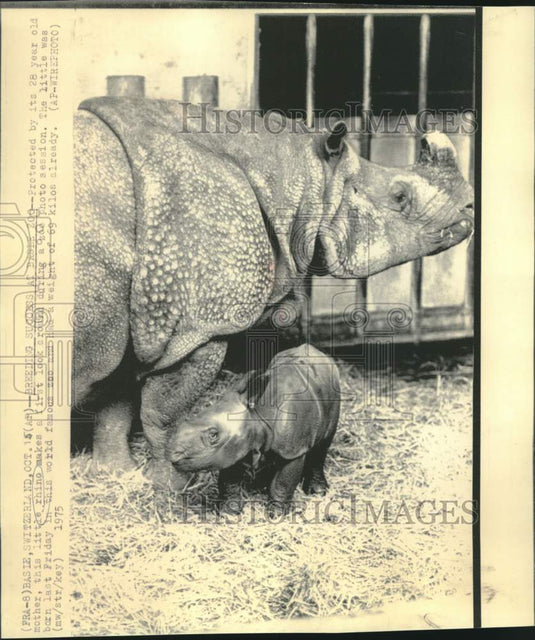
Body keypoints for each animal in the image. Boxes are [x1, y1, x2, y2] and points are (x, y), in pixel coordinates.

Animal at [73, 98, 473, 489]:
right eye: (400, 196)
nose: (469, 209)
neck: (301, 180)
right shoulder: (198, 326)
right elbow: (164, 414)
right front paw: (168, 487)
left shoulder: (138, 316)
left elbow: (115, 398)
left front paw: (115, 474)